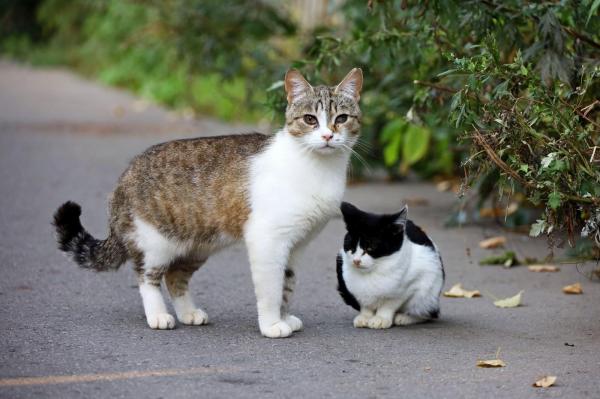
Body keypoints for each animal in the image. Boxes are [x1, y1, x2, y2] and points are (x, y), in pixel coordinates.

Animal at [52, 67, 360, 340]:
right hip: (155, 241)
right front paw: (272, 324)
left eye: (342, 118)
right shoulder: (268, 240)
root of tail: (125, 176)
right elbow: (271, 288)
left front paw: (284, 318)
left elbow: (287, 284)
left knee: (174, 276)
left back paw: (188, 313)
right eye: (310, 119)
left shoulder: (296, 246)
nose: (328, 136)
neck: (318, 169)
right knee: (147, 276)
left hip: (197, 244)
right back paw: (158, 315)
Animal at [338, 203, 446, 332]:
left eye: (371, 247)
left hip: (427, 295)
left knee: (428, 313)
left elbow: (389, 304)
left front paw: (381, 318)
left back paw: (405, 318)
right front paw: (365, 316)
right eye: (351, 246)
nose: (356, 261)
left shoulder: (412, 284)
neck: (375, 269)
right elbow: (366, 304)